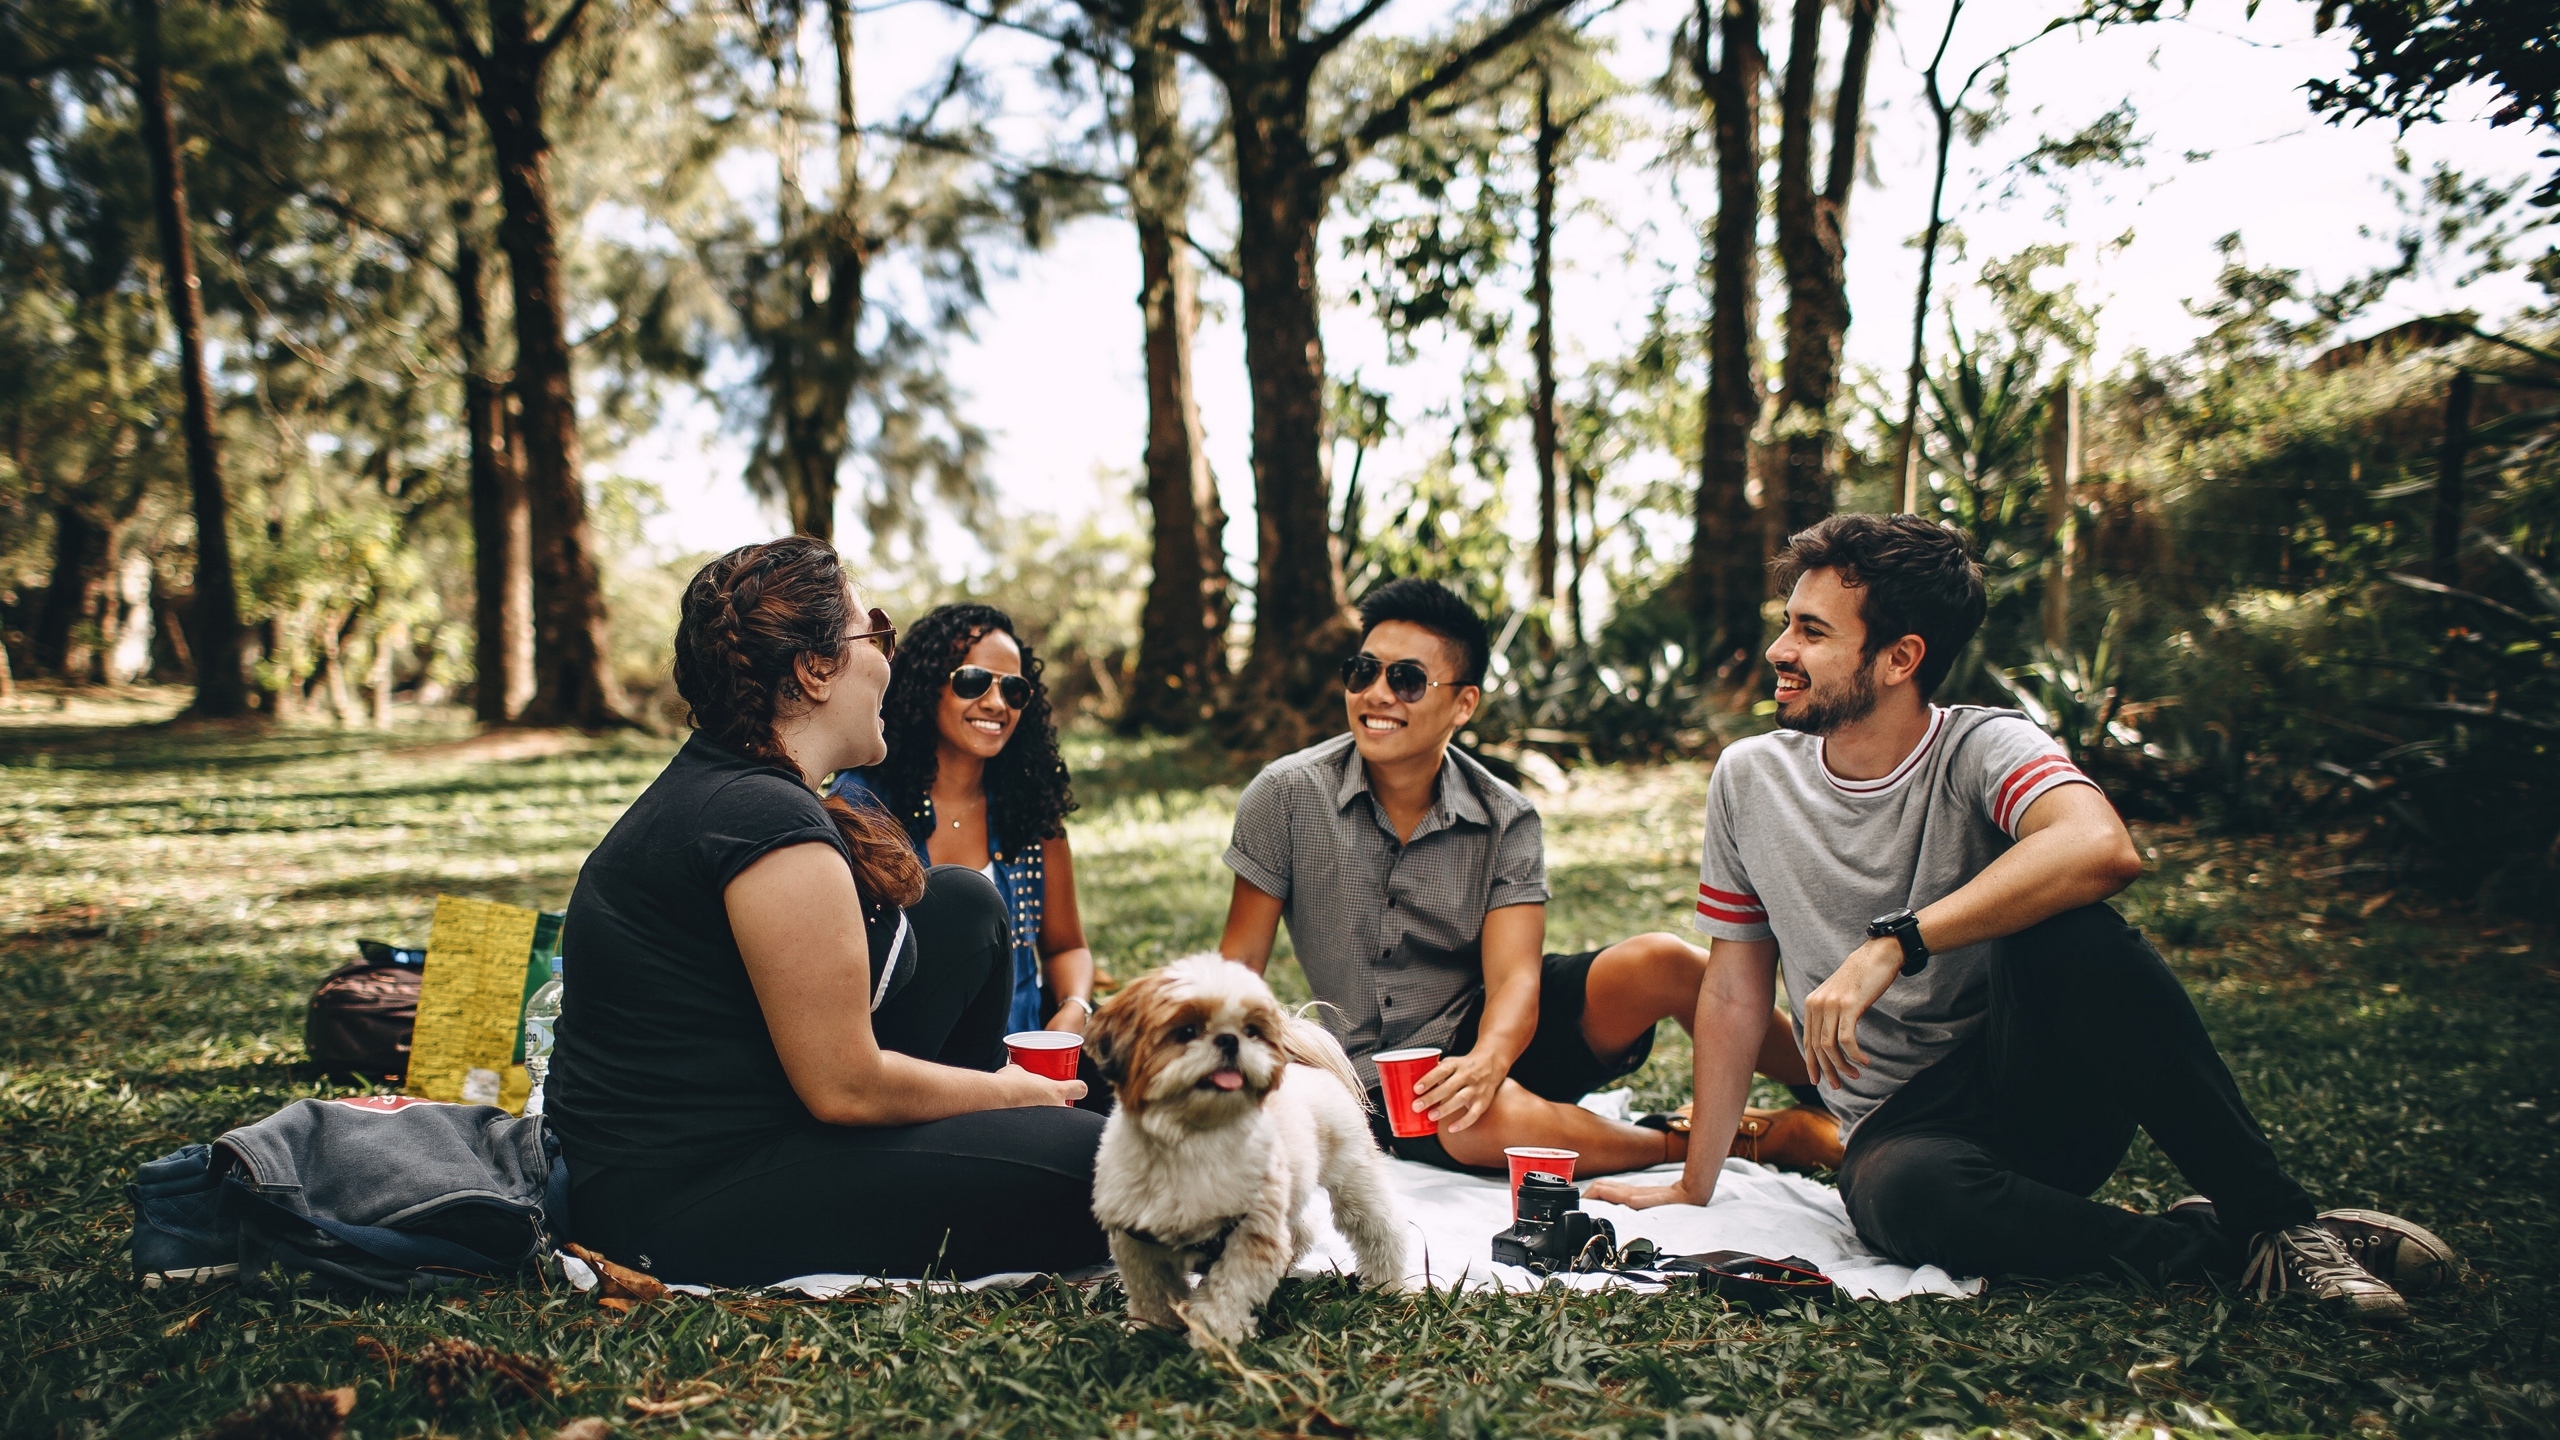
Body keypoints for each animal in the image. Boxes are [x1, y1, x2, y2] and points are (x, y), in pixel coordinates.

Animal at [1075, 953, 1402, 1342]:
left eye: (1251, 1031)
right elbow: (1151, 1290)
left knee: (1379, 1229)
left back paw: (1388, 1284)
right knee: (1301, 1228)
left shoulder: (1250, 1234)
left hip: (1353, 1179)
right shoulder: (1137, 1239)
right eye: (1187, 1031)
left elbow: (1227, 1293)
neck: (1193, 1139)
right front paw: (1150, 1329)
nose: (1230, 1040)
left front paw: (1215, 1336)